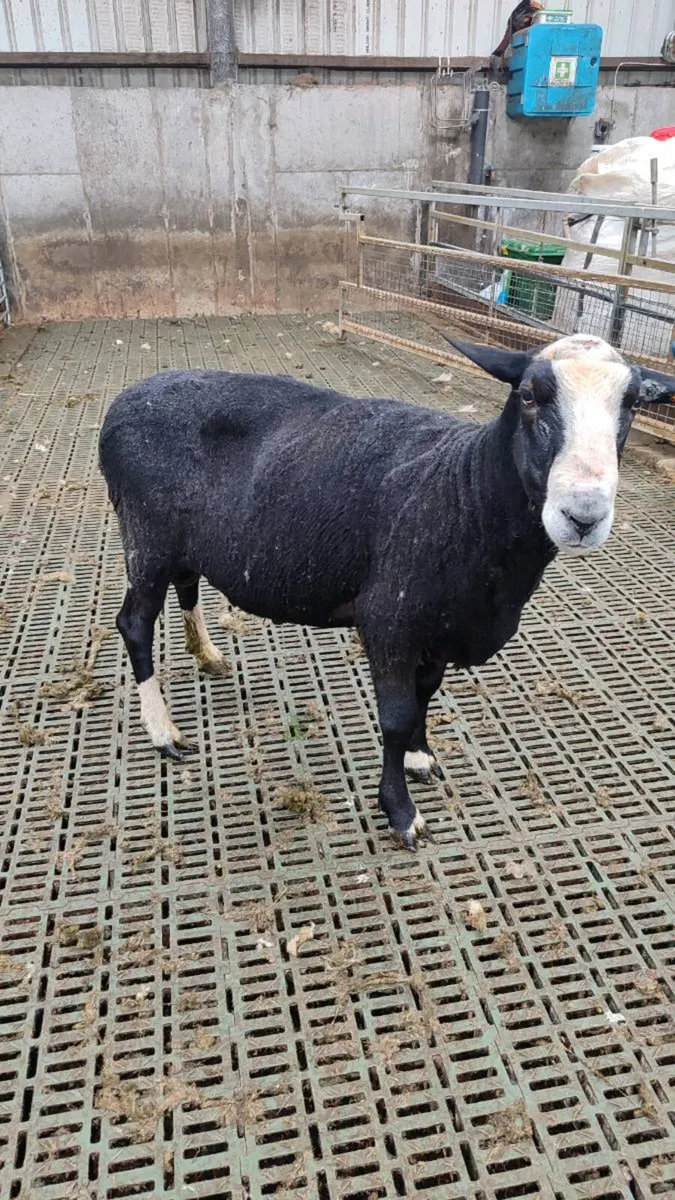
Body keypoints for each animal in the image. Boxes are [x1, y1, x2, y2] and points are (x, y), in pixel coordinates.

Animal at [99, 333, 675, 850]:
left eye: (633, 404)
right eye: (530, 396)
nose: (584, 516)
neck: (466, 491)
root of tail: (126, 399)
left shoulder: (438, 627)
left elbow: (426, 695)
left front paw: (421, 758)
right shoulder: (389, 619)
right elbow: (395, 718)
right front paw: (401, 813)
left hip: (181, 541)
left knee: (187, 587)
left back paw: (208, 655)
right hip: (145, 536)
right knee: (135, 624)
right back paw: (162, 731)